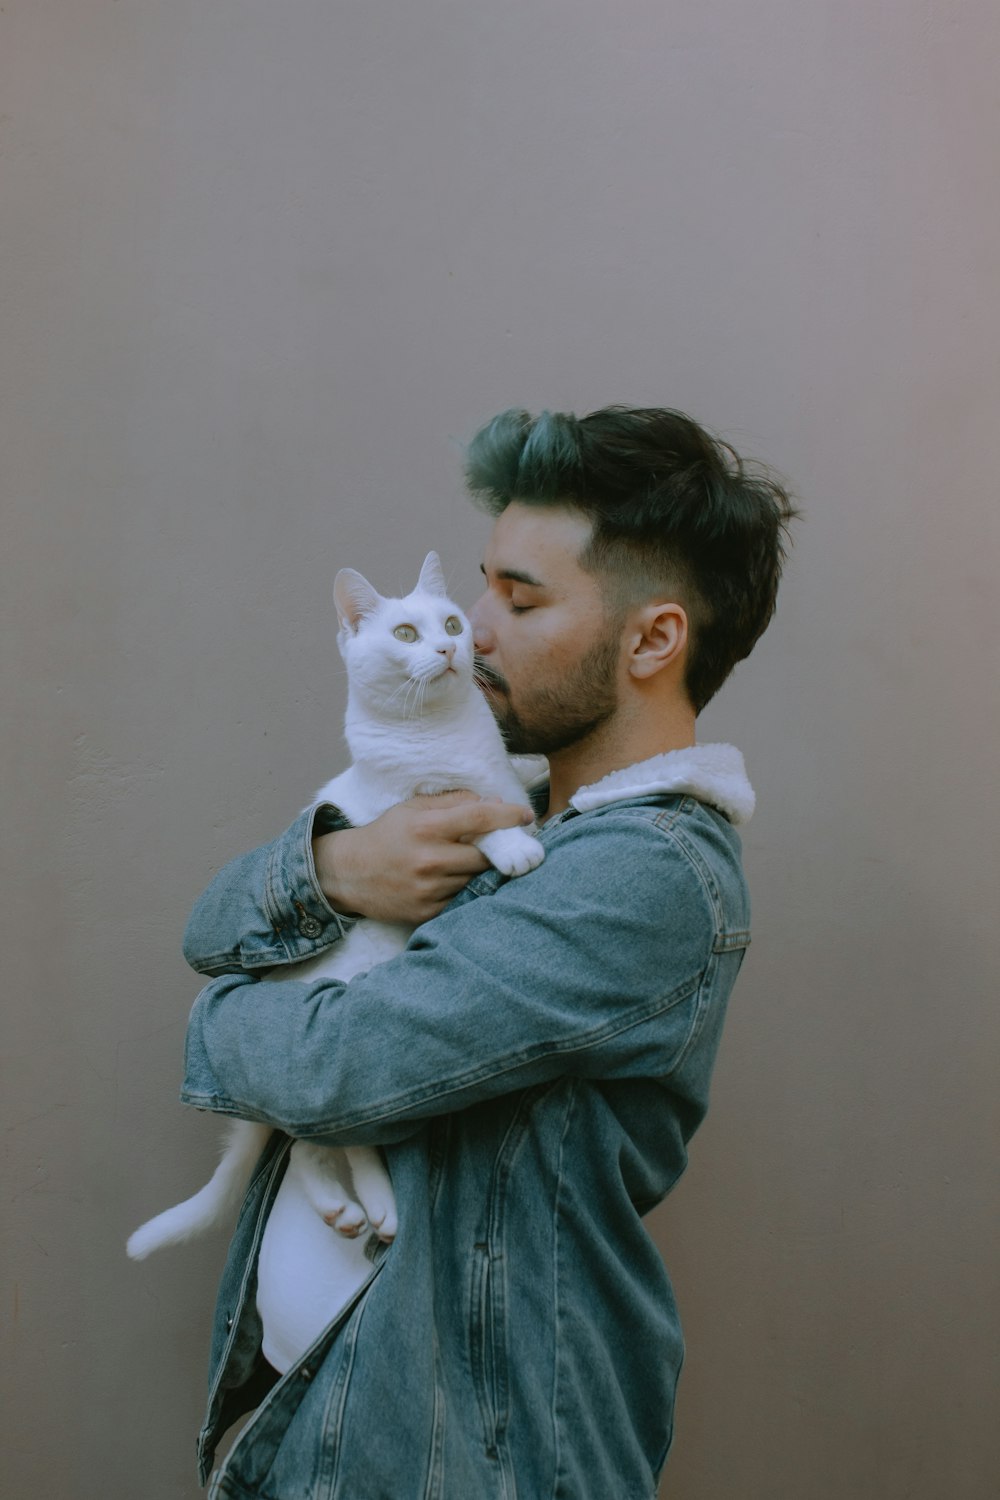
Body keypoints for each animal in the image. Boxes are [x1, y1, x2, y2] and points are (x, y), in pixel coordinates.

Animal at [128, 558, 542, 1272]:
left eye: (452, 623)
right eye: (405, 632)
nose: (449, 649)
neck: (442, 733)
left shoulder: (500, 776)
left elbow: (511, 788)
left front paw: (530, 799)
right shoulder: (421, 804)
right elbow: (475, 818)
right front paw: (514, 844)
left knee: (317, 1145)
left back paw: (355, 1208)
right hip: (333, 1057)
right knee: (323, 1139)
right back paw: (362, 1206)